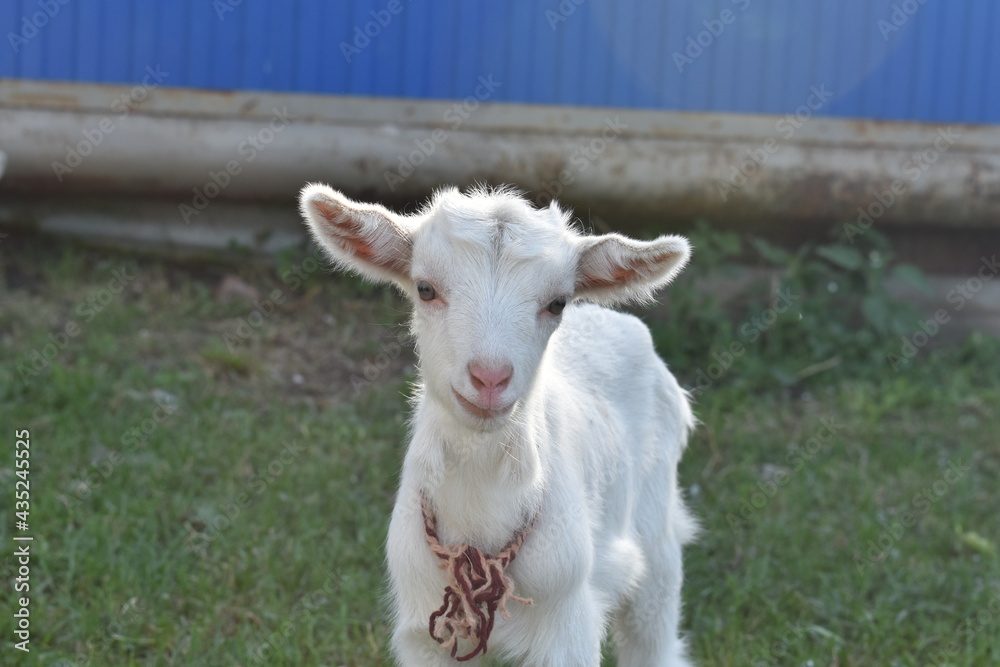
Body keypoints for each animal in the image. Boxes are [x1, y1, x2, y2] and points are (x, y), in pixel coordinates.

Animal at [299, 183, 697, 666]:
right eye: (425, 289)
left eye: (557, 303)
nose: (489, 378)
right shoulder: (424, 631)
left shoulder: (568, 624)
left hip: (657, 534)